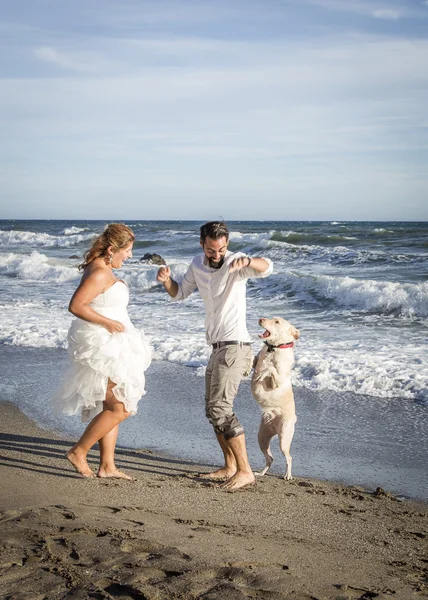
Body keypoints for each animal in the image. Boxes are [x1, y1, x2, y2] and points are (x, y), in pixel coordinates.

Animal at [249, 316, 300, 480]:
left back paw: (288, 475)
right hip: (262, 437)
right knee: (270, 458)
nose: (260, 318)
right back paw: (260, 473)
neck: (274, 348)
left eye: (277, 321)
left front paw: (261, 373)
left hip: (284, 438)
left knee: (289, 457)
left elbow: (270, 369)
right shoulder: (258, 359)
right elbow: (255, 360)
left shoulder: (277, 382)